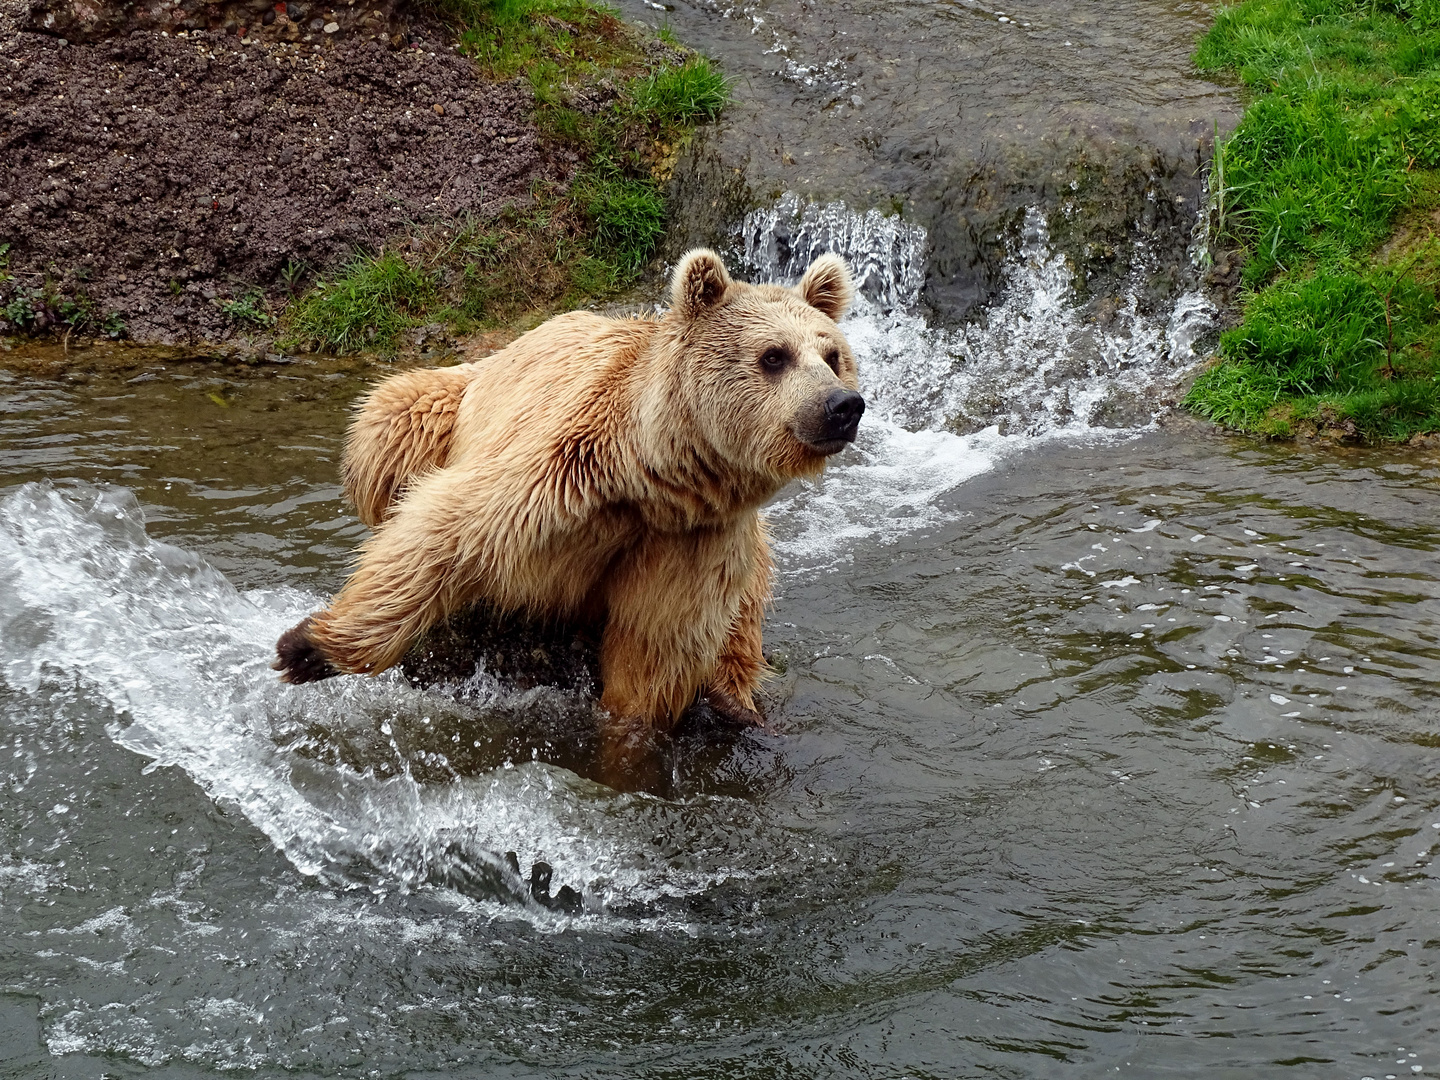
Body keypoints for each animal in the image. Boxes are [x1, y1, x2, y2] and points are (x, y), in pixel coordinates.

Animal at [277, 246, 864, 771]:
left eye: (832, 356)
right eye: (774, 355)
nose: (842, 406)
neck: (649, 474)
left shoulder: (692, 539)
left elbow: (653, 651)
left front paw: (628, 743)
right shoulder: (555, 471)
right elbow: (445, 531)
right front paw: (308, 649)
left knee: (747, 607)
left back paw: (736, 702)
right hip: (447, 403)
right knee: (389, 422)